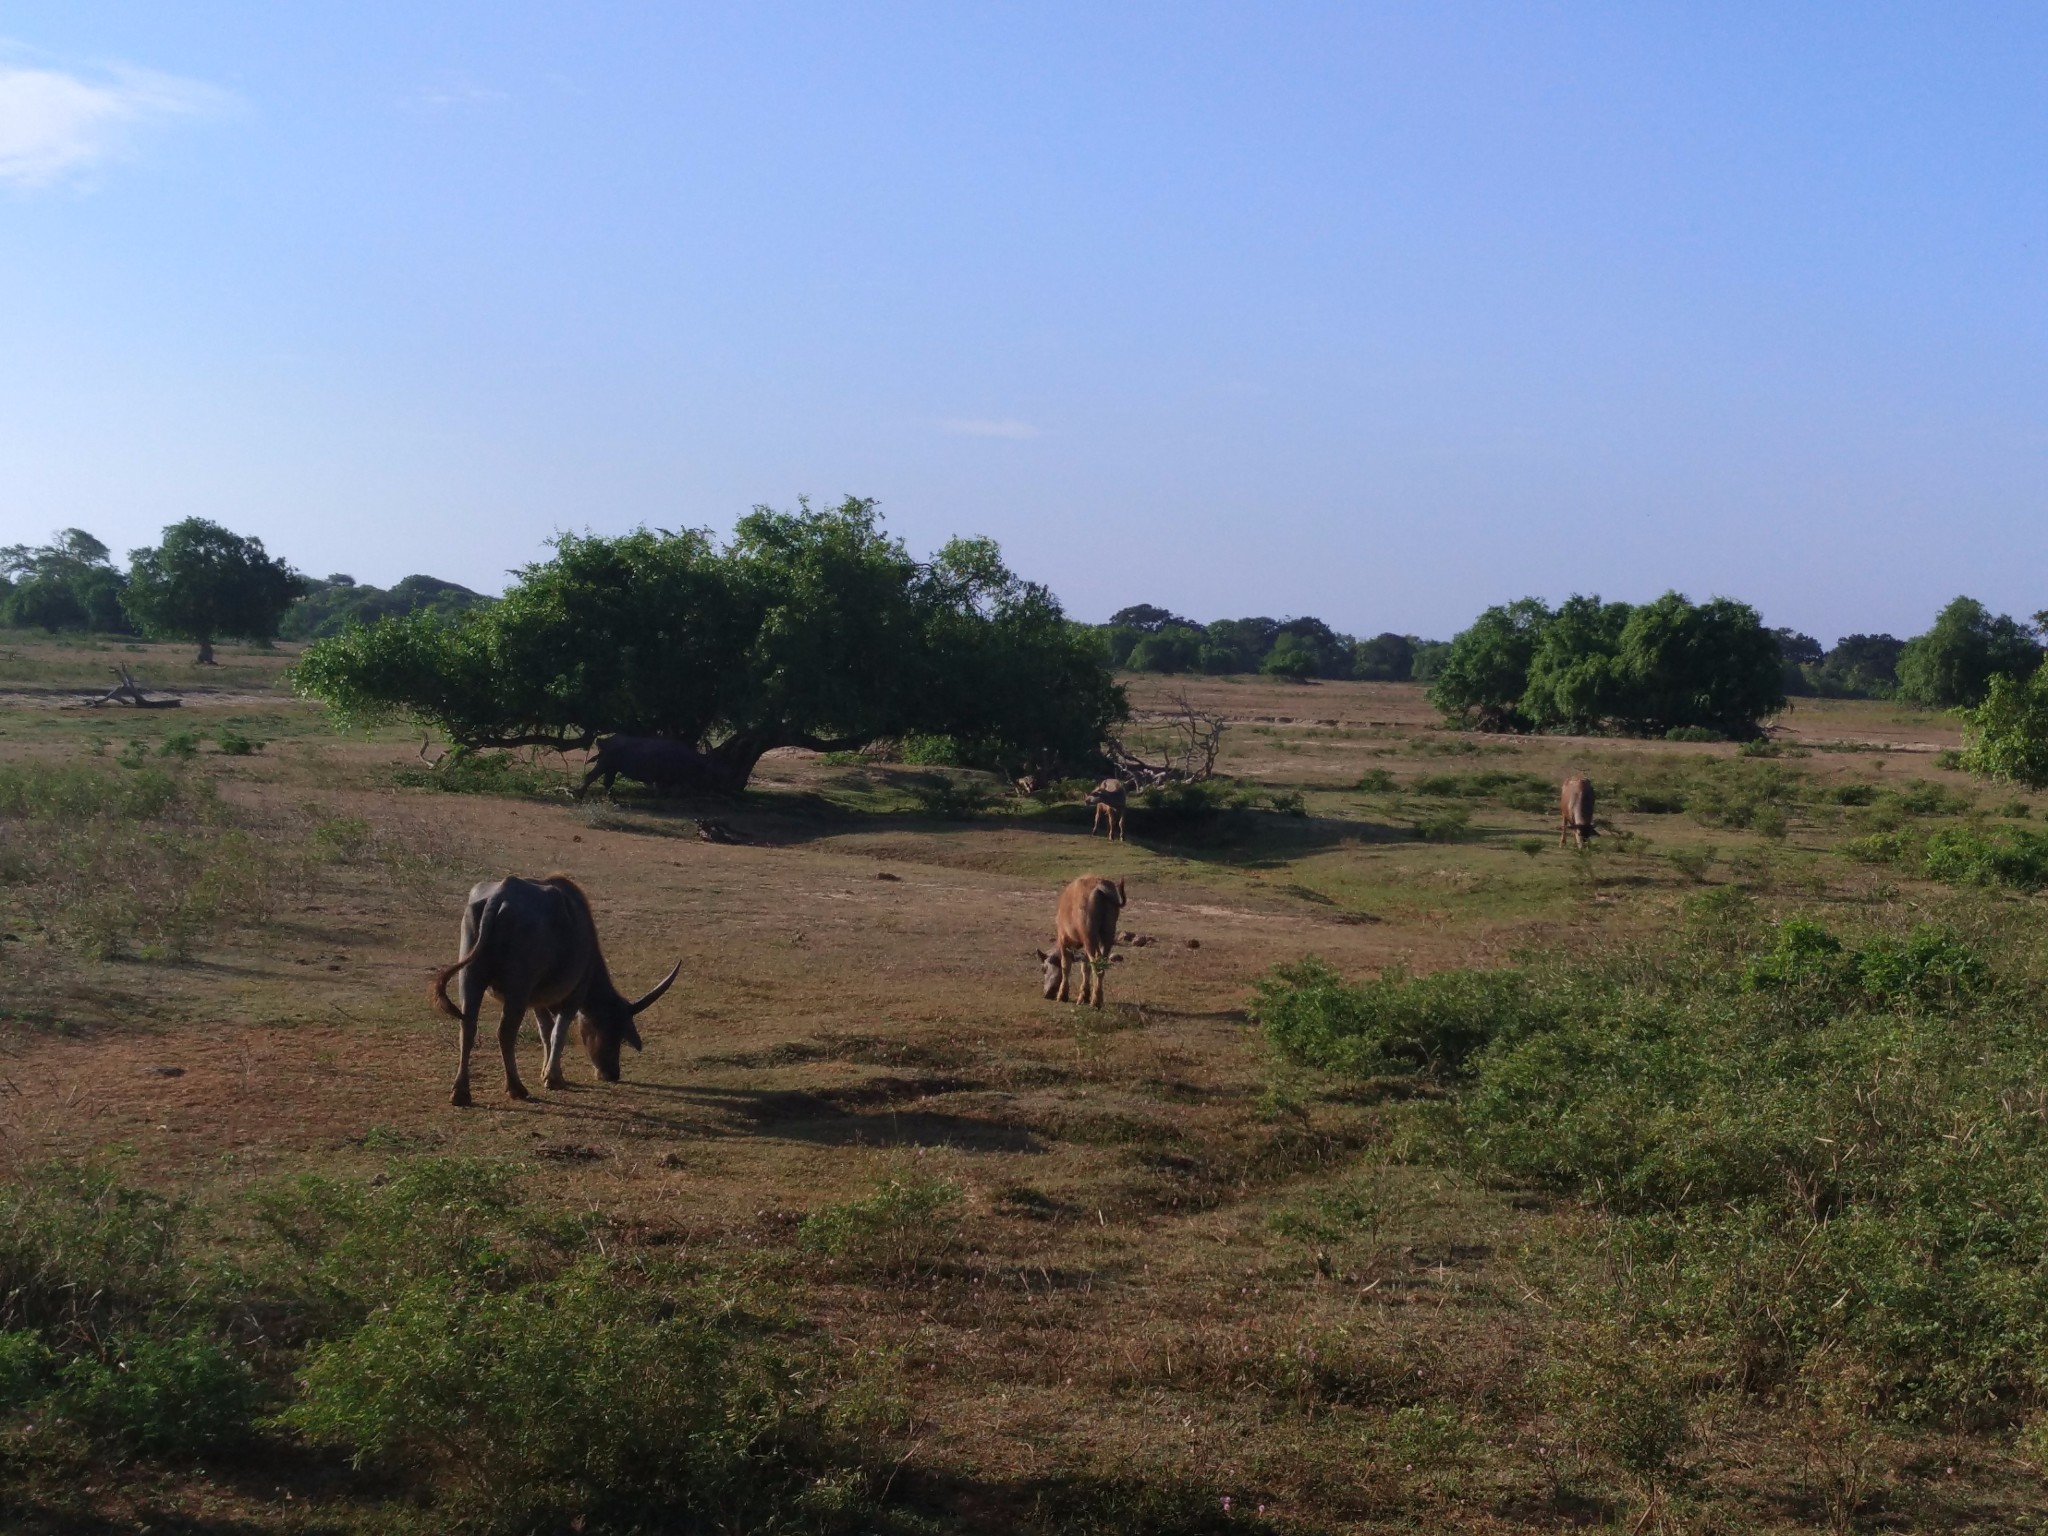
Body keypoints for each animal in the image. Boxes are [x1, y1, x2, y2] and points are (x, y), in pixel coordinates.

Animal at [434, 876, 684, 1105]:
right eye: (613, 1031)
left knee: (467, 1027)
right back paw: (516, 1088)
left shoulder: (537, 1000)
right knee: (505, 1032)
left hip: (470, 977)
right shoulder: (574, 996)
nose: (612, 1073)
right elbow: (558, 1033)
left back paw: (460, 1092)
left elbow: (545, 1031)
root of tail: (499, 896)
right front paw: (554, 1078)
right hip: (517, 988)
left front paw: (547, 1071)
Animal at [1032, 876, 1130, 1011]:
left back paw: (1095, 1002)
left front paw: (1063, 995)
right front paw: (1084, 996)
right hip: (1107, 934)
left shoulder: (1063, 940)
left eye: (1043, 969)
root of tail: (1100, 887)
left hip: (1090, 938)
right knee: (1101, 964)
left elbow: (1065, 966)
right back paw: (1098, 998)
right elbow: (1085, 967)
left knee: (1097, 966)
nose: (1046, 994)